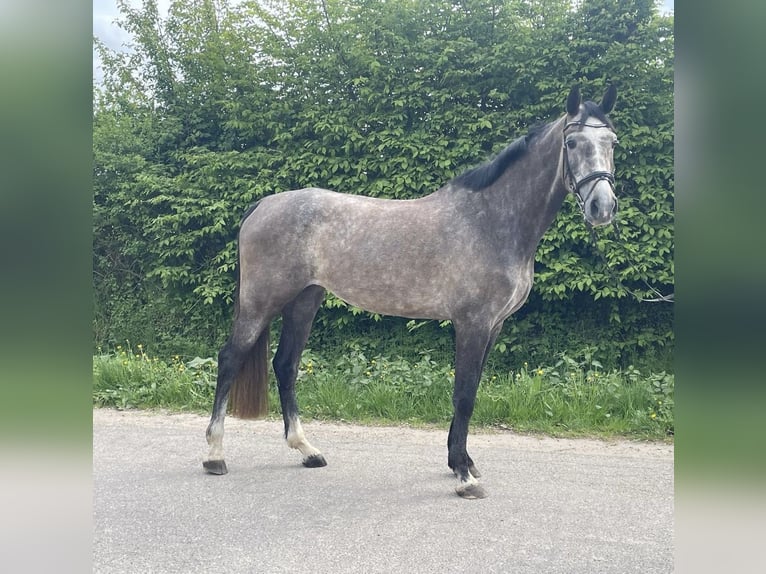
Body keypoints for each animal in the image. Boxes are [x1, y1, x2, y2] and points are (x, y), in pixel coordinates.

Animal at [203, 85, 619, 499]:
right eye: (572, 142)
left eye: (612, 142)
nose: (602, 207)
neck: (490, 220)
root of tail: (263, 204)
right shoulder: (473, 323)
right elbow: (464, 395)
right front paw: (464, 477)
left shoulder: (494, 326)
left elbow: (470, 391)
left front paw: (462, 463)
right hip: (261, 300)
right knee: (229, 360)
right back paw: (215, 455)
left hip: (304, 300)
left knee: (286, 365)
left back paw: (308, 451)